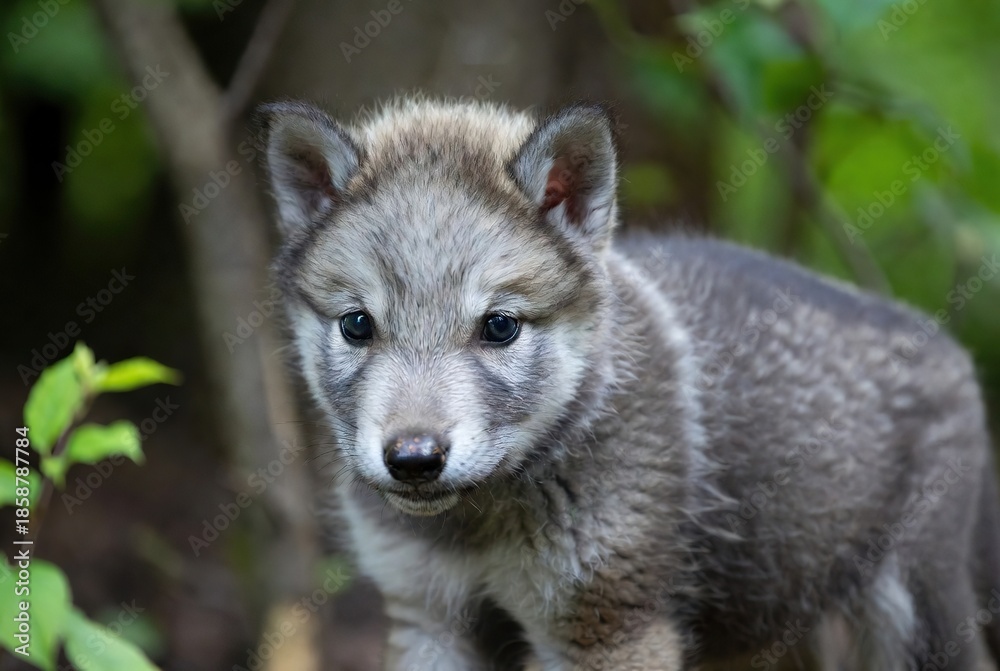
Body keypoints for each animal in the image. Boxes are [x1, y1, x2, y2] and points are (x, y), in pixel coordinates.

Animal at [253, 96, 1000, 670]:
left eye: (499, 326)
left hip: (915, 614)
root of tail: (941, 342)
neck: (479, 528)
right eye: (357, 324)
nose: (413, 460)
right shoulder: (430, 618)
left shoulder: (609, 628)